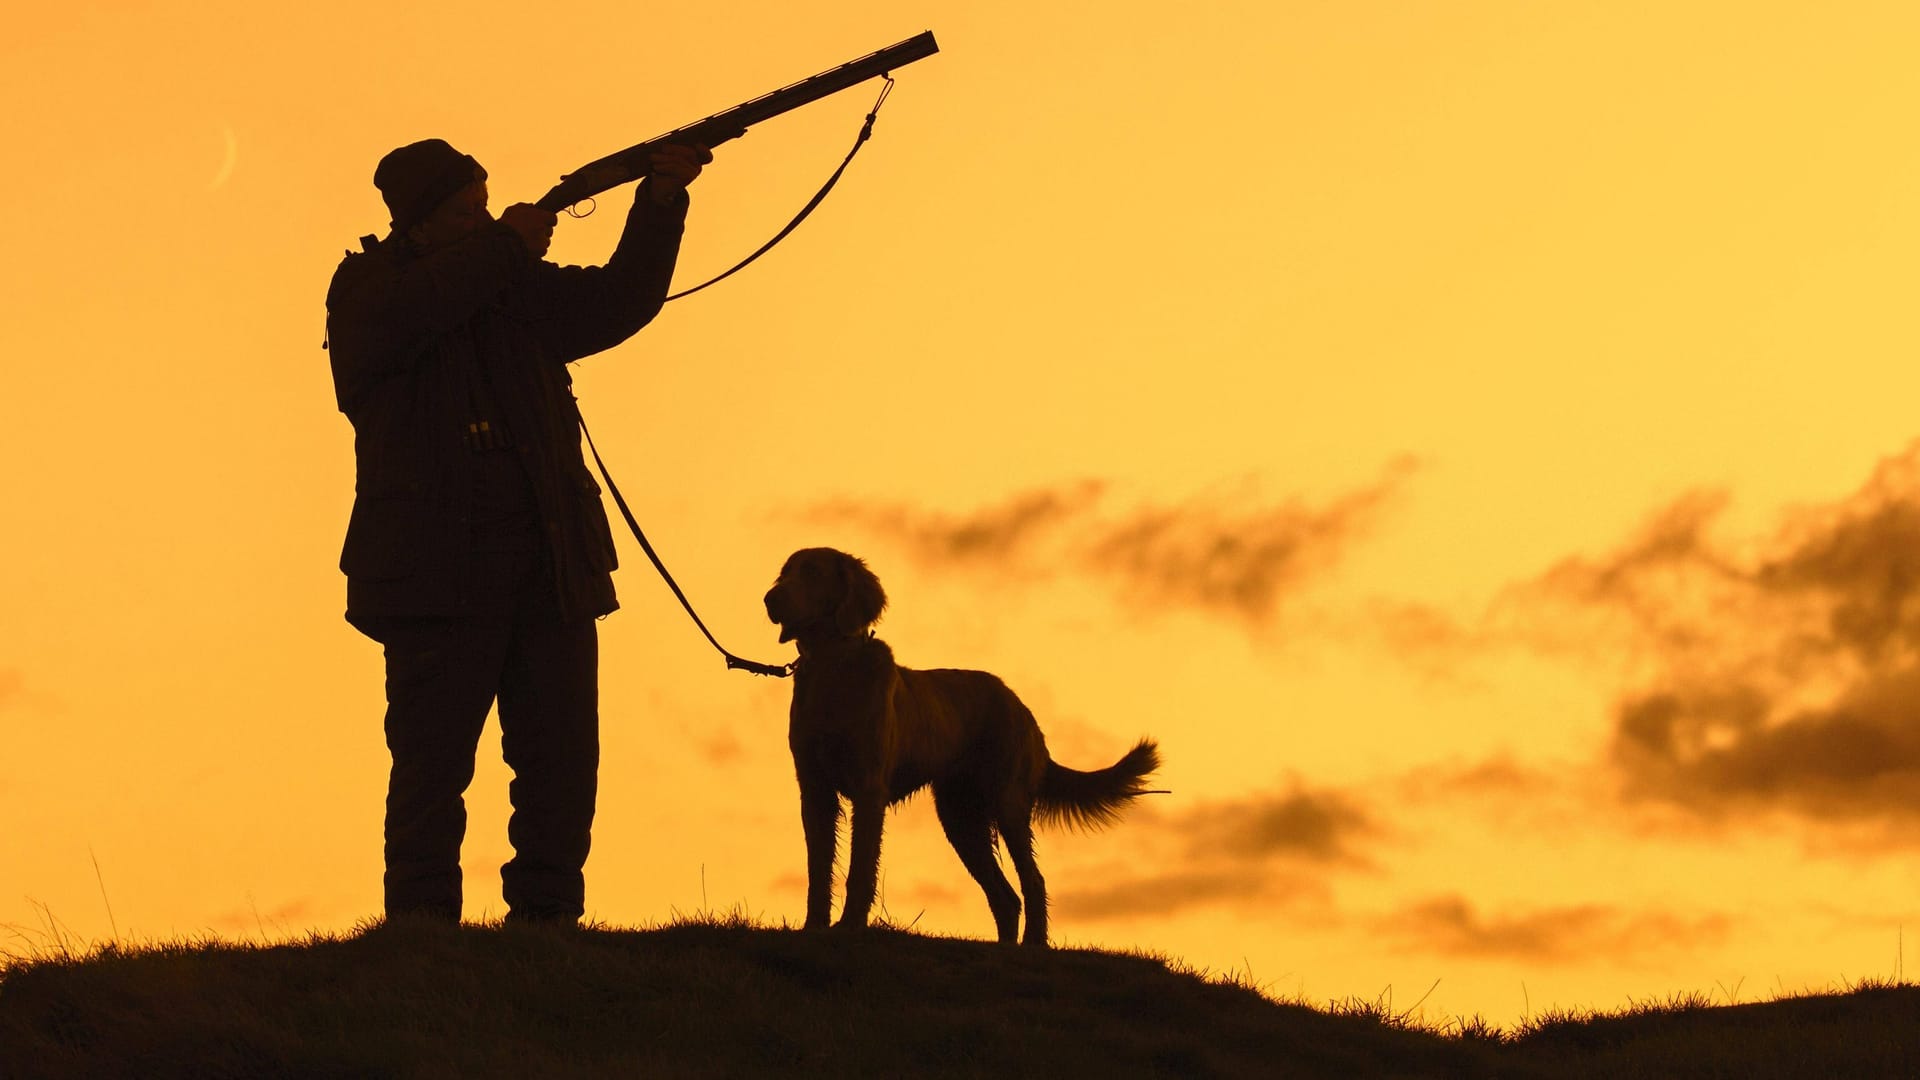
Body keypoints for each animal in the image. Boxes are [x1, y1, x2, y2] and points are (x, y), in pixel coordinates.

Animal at [760, 545, 1152, 941]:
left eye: (812, 571)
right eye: (785, 572)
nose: (769, 599)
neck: (833, 671)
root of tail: (1021, 708)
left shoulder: (869, 790)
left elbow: (860, 869)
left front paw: (849, 925)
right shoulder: (815, 789)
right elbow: (818, 868)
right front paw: (814, 926)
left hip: (1006, 803)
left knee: (1033, 881)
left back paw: (1034, 943)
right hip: (960, 818)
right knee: (1006, 897)